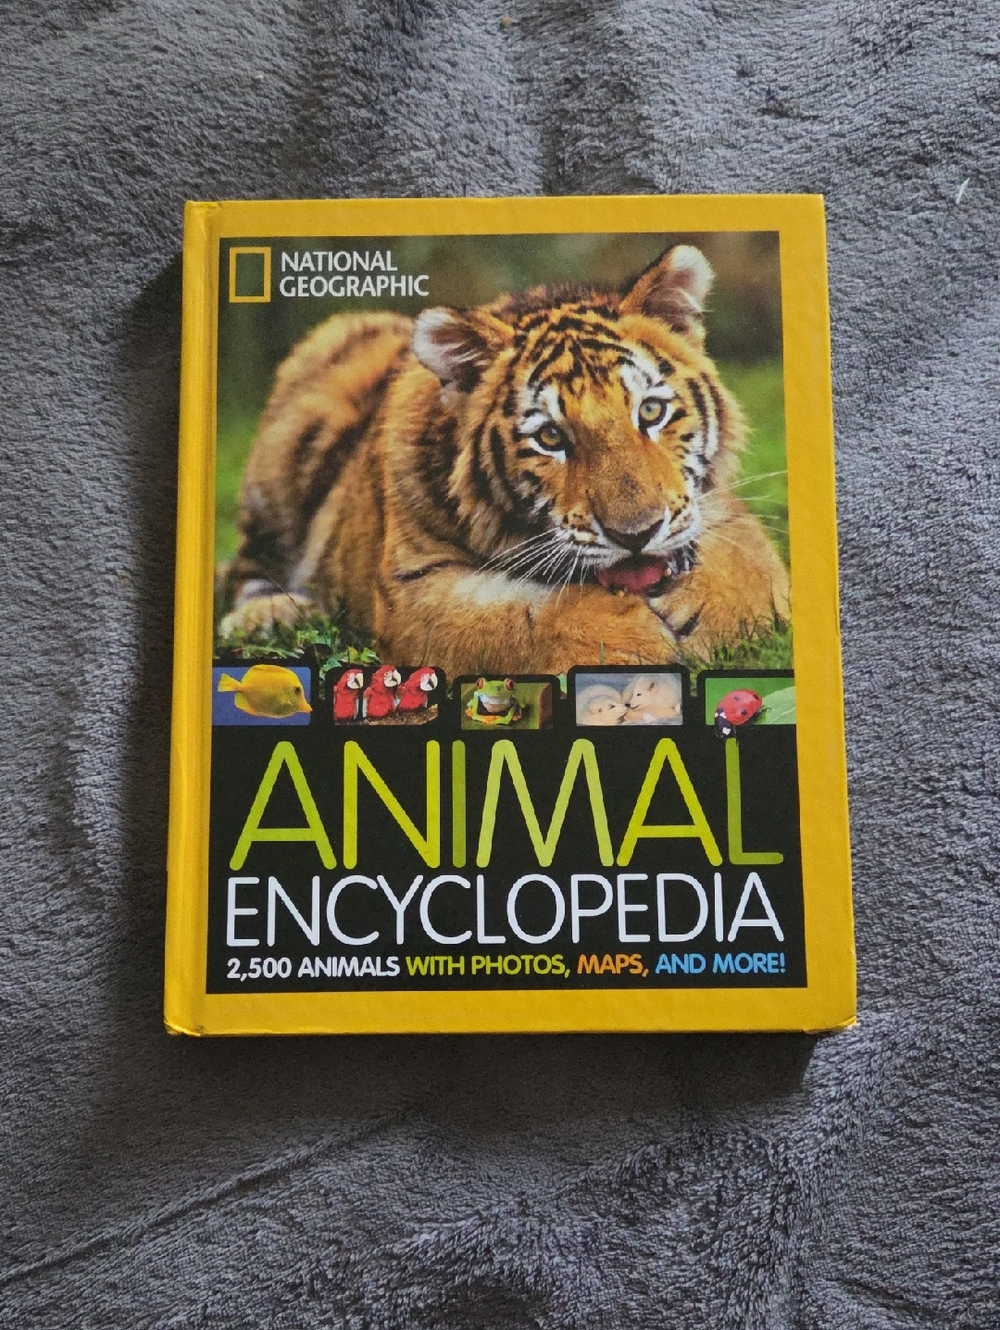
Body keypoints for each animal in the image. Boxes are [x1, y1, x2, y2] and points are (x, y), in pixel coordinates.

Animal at [220, 245, 790, 677]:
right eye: (551, 437)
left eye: (650, 411)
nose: (636, 535)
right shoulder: (411, 585)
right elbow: (521, 620)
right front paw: (632, 642)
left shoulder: (724, 511)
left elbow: (747, 566)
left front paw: (709, 612)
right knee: (245, 568)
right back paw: (268, 615)